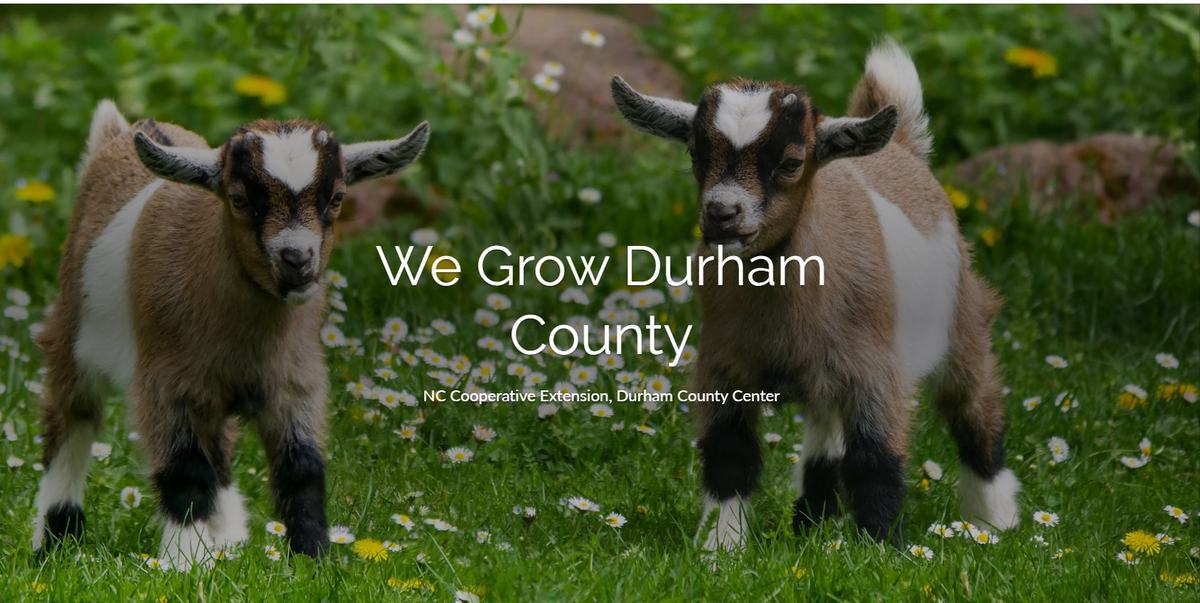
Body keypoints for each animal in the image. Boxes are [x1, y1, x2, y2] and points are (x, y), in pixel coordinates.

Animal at [32, 100, 429, 569]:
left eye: (336, 198)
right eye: (239, 199)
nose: (297, 260)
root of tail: (119, 133)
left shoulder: (296, 382)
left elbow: (302, 469)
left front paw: (313, 558)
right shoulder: (166, 384)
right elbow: (184, 471)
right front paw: (182, 563)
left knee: (218, 450)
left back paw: (228, 540)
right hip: (71, 337)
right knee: (71, 420)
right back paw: (55, 540)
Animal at [612, 40, 1018, 550]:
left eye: (790, 162)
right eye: (694, 154)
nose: (722, 213)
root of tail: (902, 149)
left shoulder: (876, 371)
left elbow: (875, 459)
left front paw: (881, 547)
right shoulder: (724, 364)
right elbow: (730, 456)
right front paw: (720, 547)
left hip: (961, 321)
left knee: (974, 410)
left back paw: (994, 522)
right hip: (828, 376)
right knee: (826, 436)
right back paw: (812, 521)